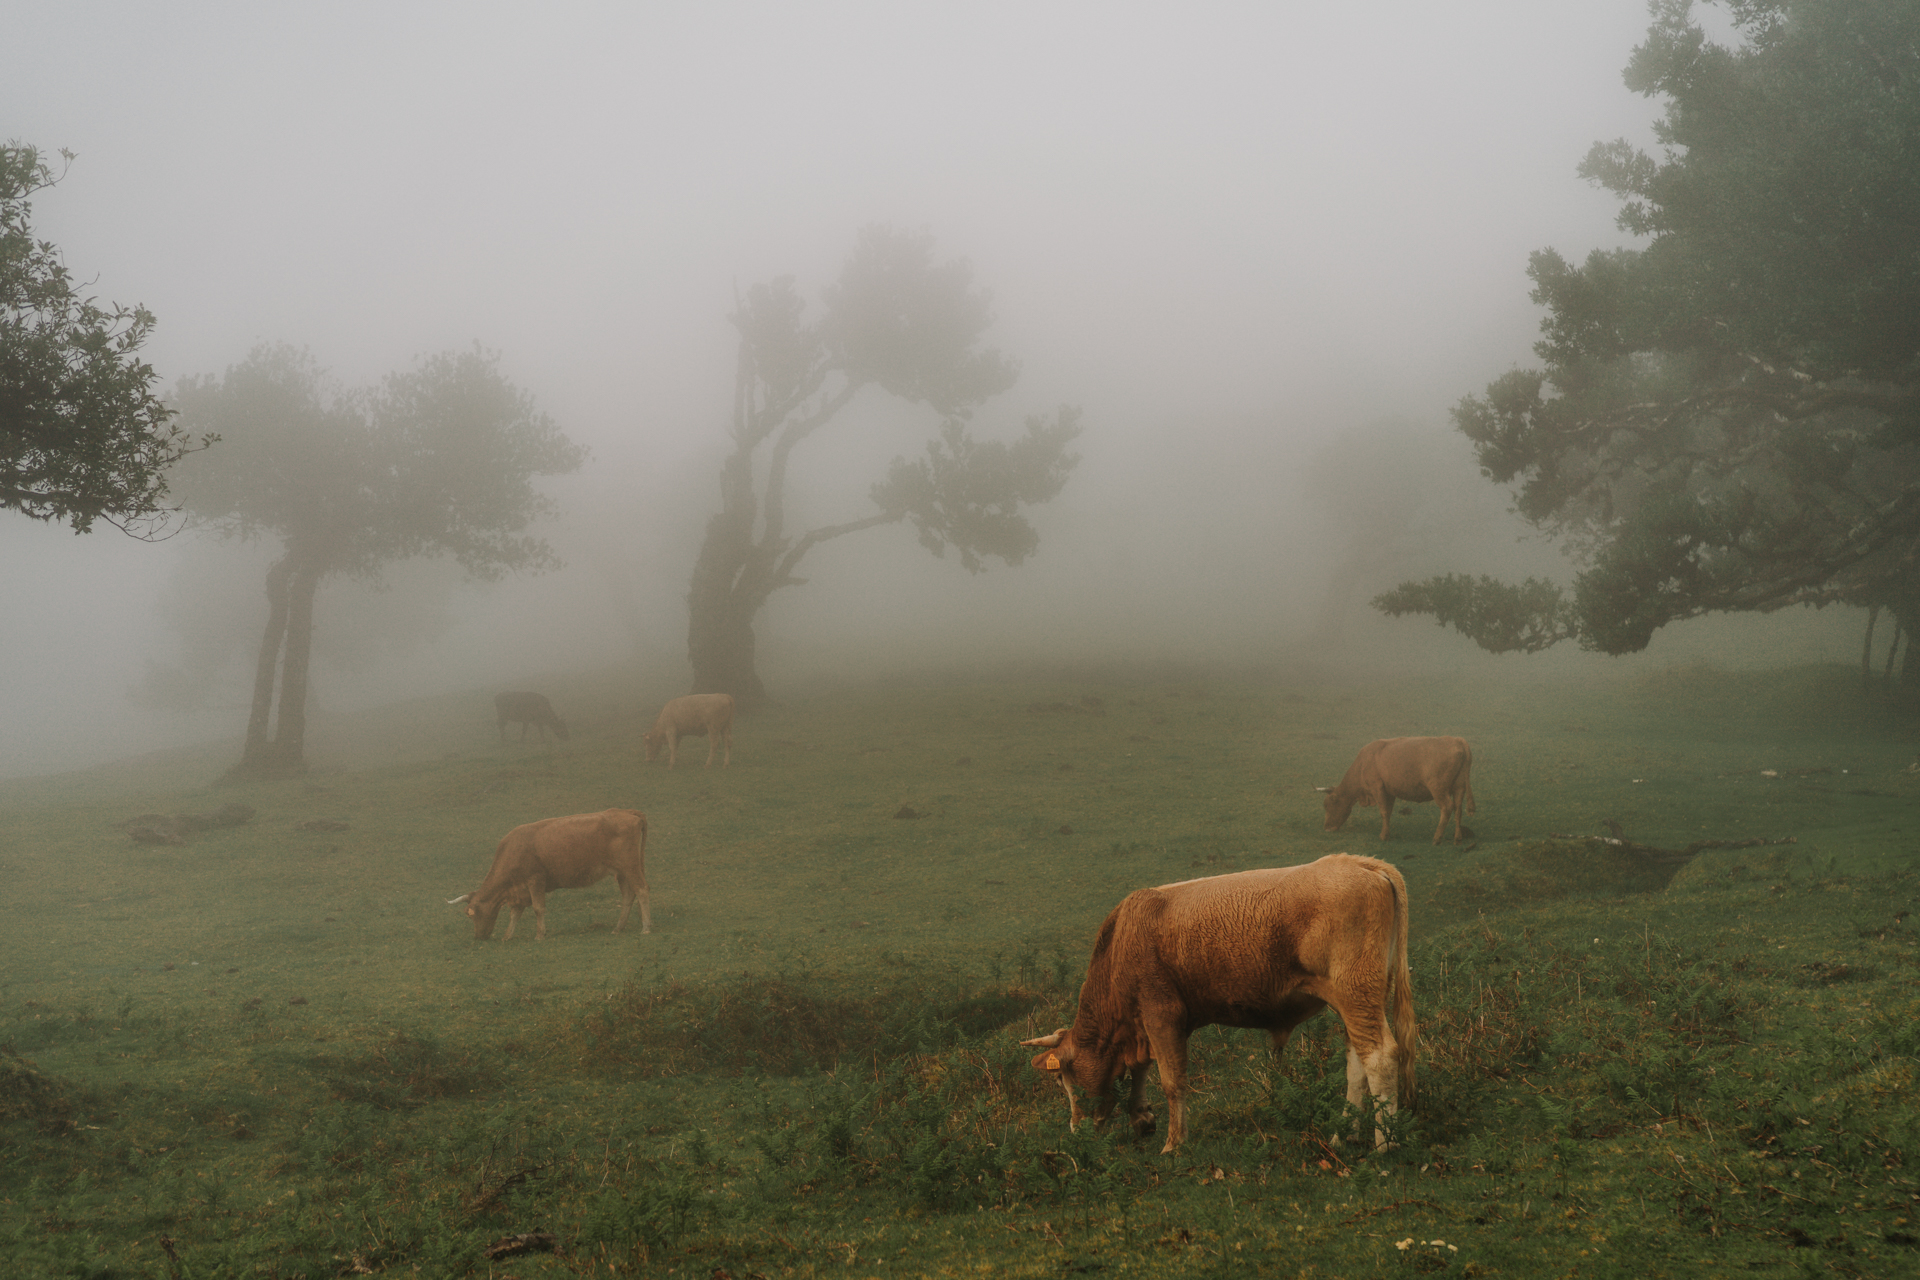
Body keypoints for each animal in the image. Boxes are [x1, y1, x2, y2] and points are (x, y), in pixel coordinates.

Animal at [443, 809, 648, 940]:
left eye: (471, 915)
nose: (479, 937)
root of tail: (628, 812)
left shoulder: (535, 880)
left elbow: (538, 908)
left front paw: (540, 934)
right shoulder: (520, 891)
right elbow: (515, 914)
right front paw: (507, 936)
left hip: (630, 867)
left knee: (642, 891)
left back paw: (646, 928)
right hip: (622, 872)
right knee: (628, 896)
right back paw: (618, 928)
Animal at [1021, 855, 1413, 1159]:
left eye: (1063, 1078)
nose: (1076, 1130)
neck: (1120, 942)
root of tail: (1360, 863)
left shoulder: (1161, 1014)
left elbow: (1171, 1080)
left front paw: (1174, 1143)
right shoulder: (1144, 1025)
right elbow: (1141, 1070)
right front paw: (1142, 1117)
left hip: (1355, 992)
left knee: (1380, 1056)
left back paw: (1385, 1145)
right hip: (1357, 1000)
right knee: (1357, 1062)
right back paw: (1343, 1136)